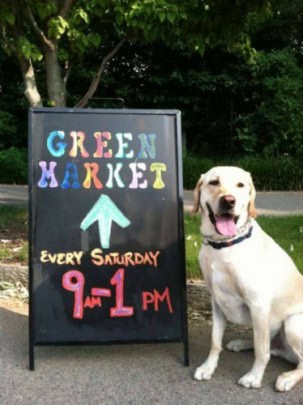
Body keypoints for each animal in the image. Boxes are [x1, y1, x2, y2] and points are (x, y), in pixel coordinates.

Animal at [194, 166, 303, 390]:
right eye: (214, 182)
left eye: (240, 185)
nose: (228, 200)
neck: (224, 245)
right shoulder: (216, 301)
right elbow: (215, 341)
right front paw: (208, 367)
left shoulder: (259, 305)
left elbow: (262, 351)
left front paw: (254, 377)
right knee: (271, 346)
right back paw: (242, 343)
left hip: (293, 322)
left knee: (291, 358)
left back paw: (288, 377)